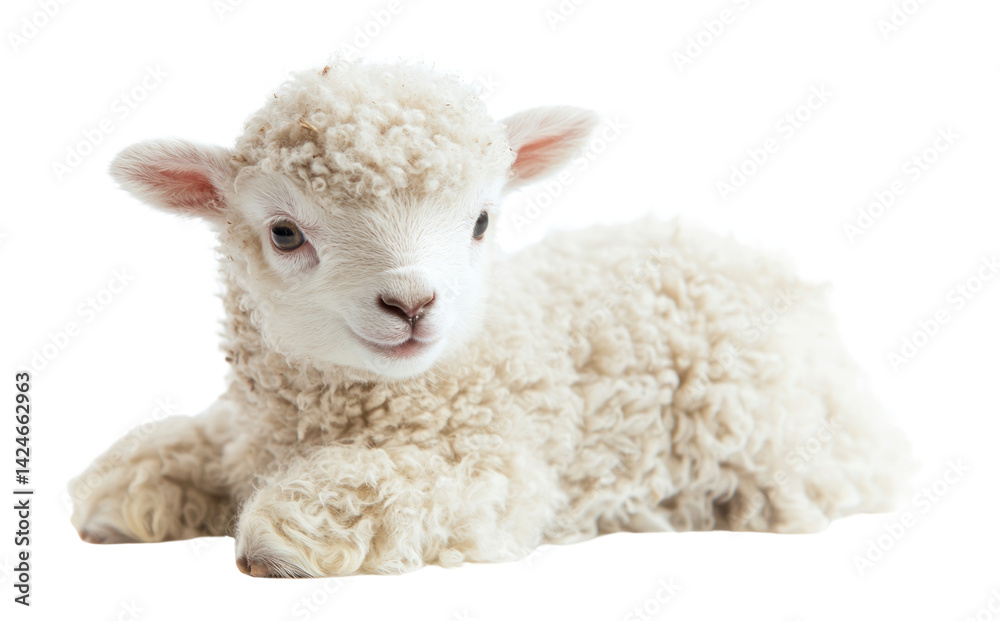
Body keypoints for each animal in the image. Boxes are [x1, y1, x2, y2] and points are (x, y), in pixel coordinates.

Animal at [68, 57, 913, 578]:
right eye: (284, 233)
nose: (412, 303)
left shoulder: (498, 465)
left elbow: (388, 485)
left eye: (480, 221)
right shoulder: (250, 430)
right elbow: (192, 449)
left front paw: (277, 537)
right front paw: (123, 493)